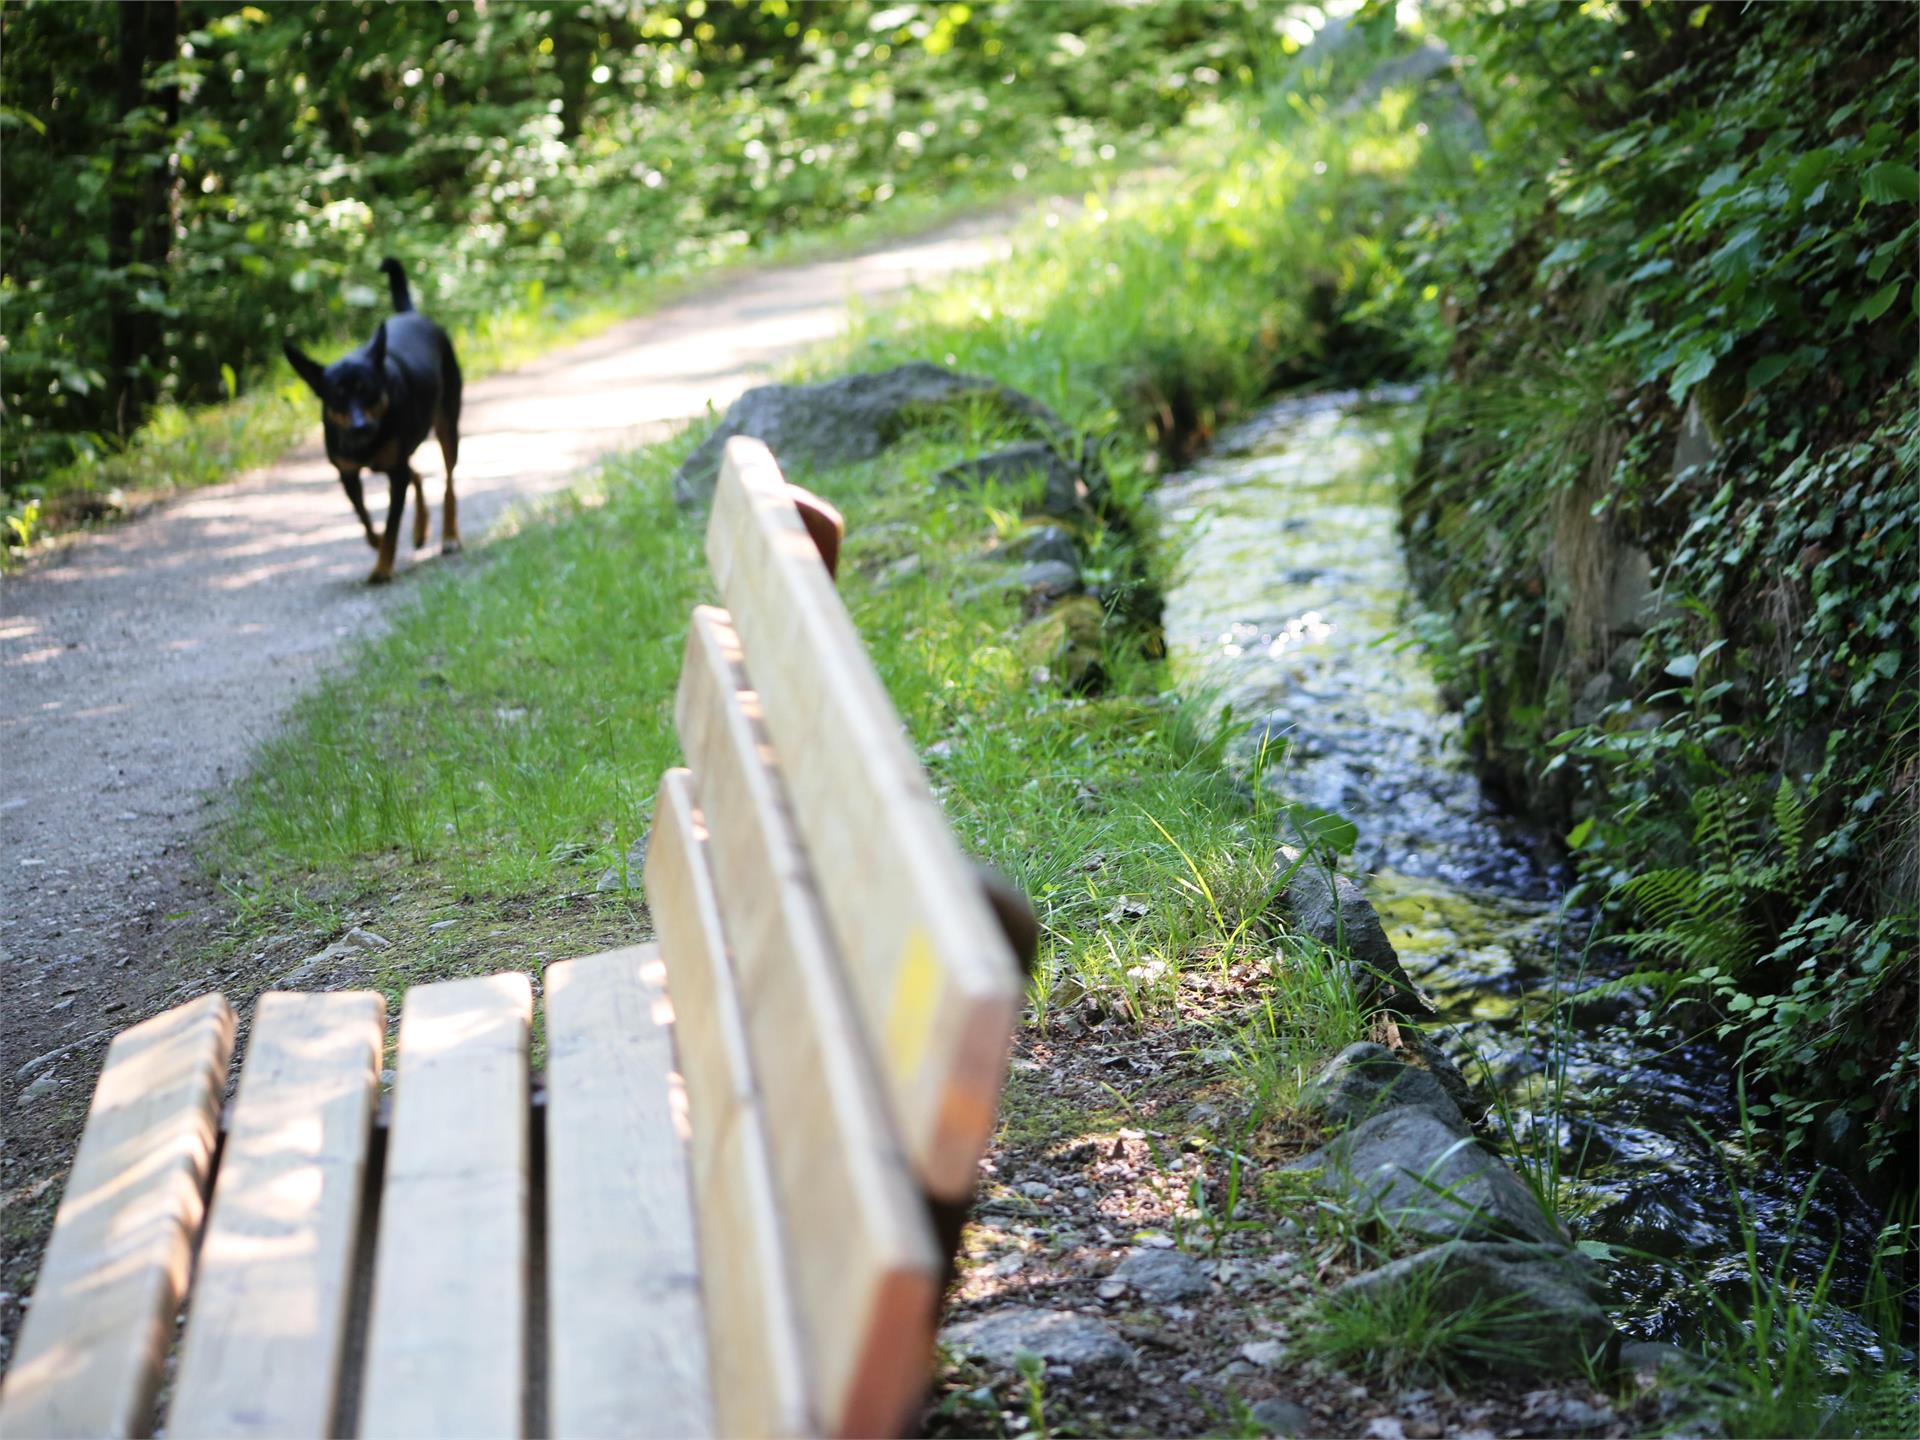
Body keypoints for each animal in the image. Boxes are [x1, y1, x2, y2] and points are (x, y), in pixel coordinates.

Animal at [284, 257, 464, 583]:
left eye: (368, 390)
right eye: (337, 396)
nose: (360, 426)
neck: (365, 444)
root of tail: (410, 315)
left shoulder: (395, 473)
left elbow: (392, 525)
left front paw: (382, 568)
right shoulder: (347, 474)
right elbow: (364, 518)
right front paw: (377, 541)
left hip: (447, 426)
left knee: (447, 483)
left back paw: (449, 536)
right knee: (417, 474)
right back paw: (420, 529)